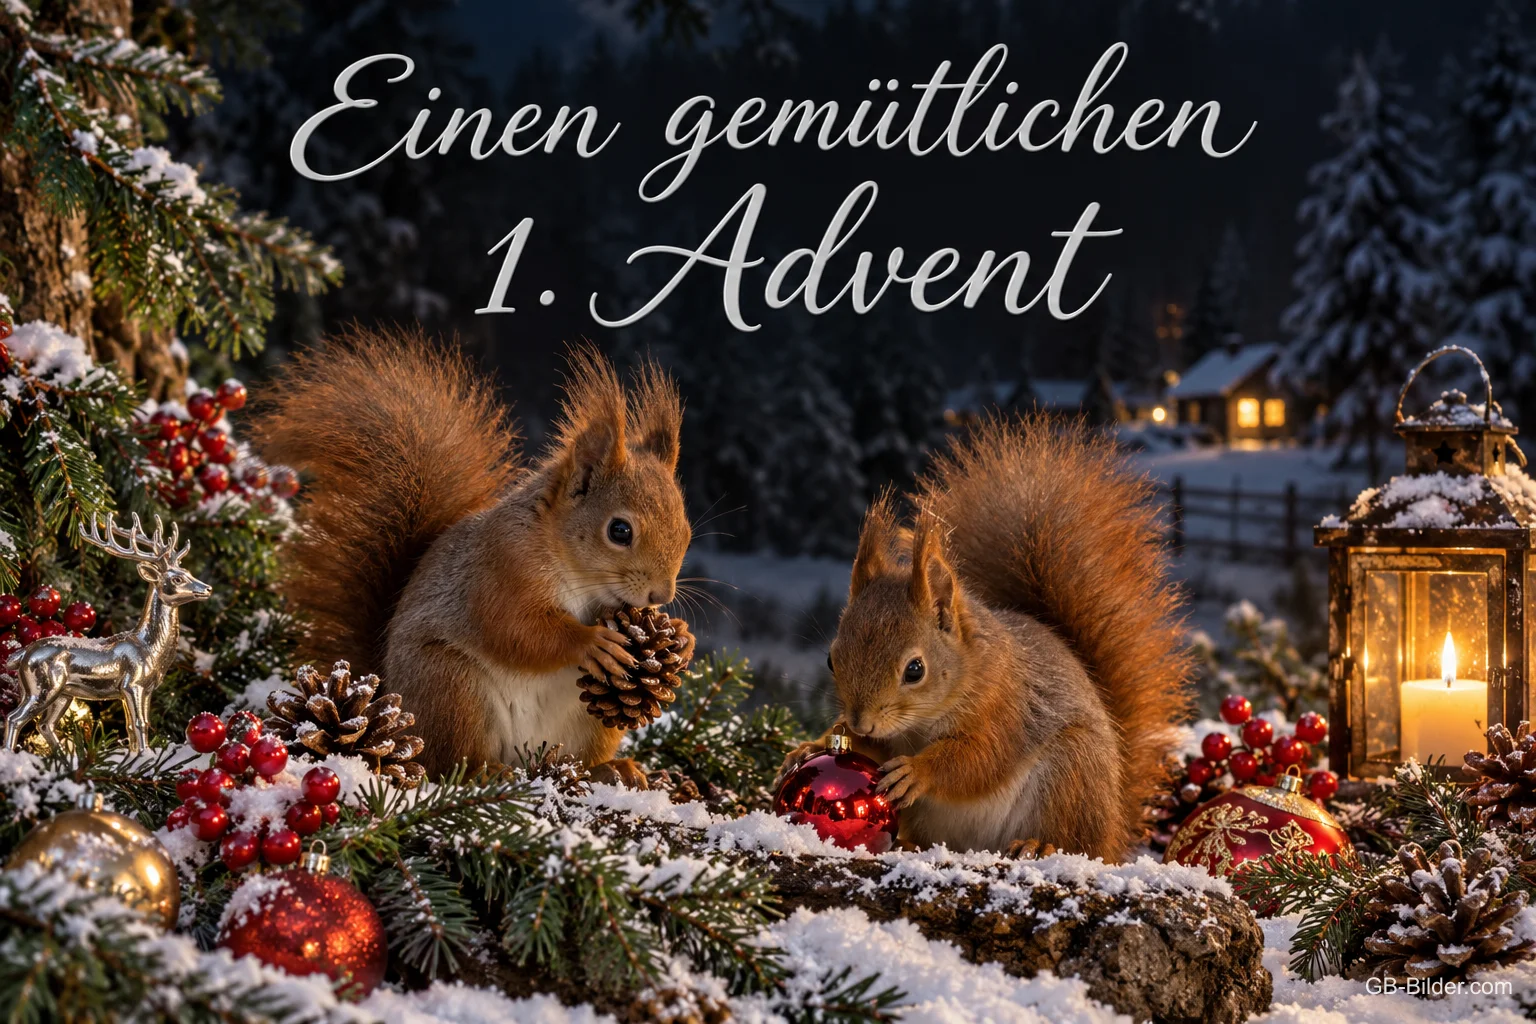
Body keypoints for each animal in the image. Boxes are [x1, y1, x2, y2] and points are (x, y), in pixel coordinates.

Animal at [256, 326, 693, 785]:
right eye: (619, 531)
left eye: (685, 530)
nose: (660, 596)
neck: (573, 567)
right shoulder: (500, 569)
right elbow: (517, 631)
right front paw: (591, 642)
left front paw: (682, 638)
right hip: (451, 687)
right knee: (452, 761)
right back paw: (493, 774)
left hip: (589, 723)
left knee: (577, 761)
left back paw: (614, 769)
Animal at [781, 414, 1192, 860]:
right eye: (831, 659)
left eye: (915, 670)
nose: (861, 721)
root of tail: (1114, 829)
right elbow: (874, 750)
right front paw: (815, 744)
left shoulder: (1005, 706)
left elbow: (978, 759)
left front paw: (916, 770)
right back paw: (908, 843)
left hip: (1071, 774)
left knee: (1074, 841)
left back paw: (1039, 844)